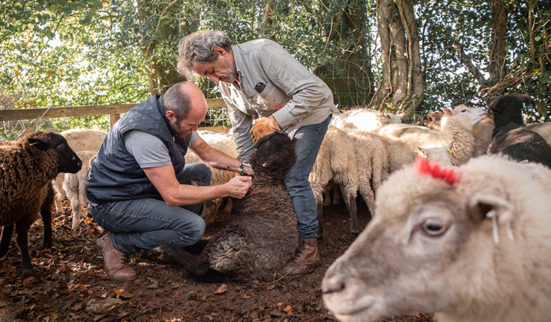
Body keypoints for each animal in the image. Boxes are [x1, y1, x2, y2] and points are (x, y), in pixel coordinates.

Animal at [0, 131, 82, 276]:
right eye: (61, 145)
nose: (80, 163)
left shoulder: (27, 211)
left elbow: (21, 239)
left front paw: (27, 267)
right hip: (13, 207)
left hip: (43, 196)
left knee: (46, 216)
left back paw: (47, 243)